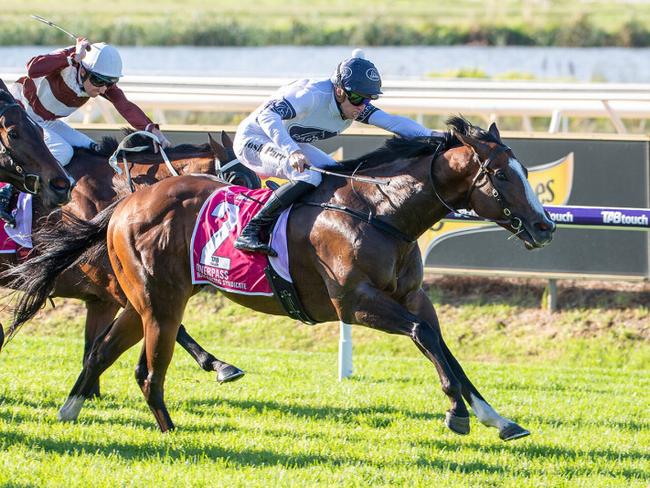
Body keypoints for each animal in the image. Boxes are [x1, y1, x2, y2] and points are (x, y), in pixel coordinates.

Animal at [0, 130, 253, 386]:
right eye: (237, 179)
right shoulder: (122, 289)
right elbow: (174, 326)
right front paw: (220, 365)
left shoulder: (102, 300)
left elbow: (93, 348)